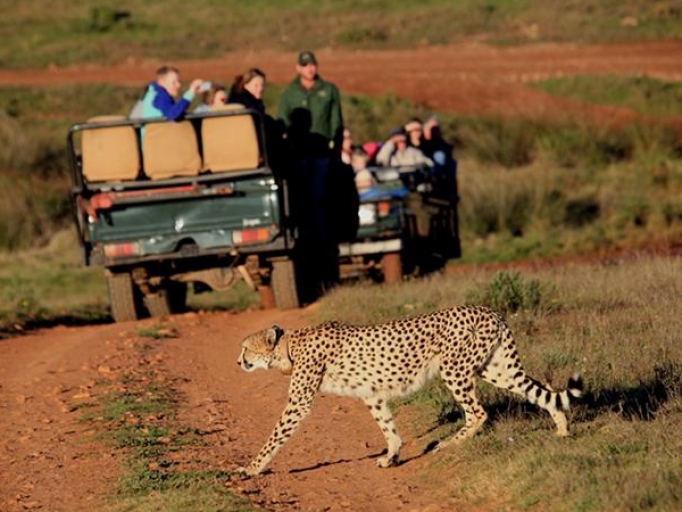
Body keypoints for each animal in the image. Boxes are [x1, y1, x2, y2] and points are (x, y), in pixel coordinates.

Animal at [236, 304, 580, 476]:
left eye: (245, 348)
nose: (238, 361)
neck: (289, 346)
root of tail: (489, 309)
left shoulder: (300, 402)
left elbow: (275, 436)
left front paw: (251, 468)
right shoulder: (372, 395)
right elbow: (388, 428)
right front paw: (391, 457)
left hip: (454, 369)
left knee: (478, 412)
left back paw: (447, 444)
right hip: (496, 368)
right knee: (542, 390)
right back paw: (562, 428)